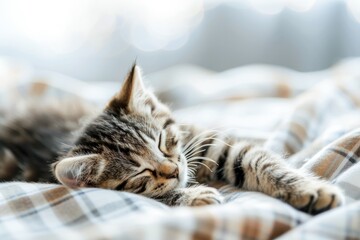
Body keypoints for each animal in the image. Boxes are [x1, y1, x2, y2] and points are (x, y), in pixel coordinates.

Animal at [0, 64, 344, 215]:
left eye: (163, 141)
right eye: (140, 172)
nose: (174, 170)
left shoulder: (209, 145)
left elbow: (263, 162)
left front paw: (309, 189)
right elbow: (156, 196)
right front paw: (192, 195)